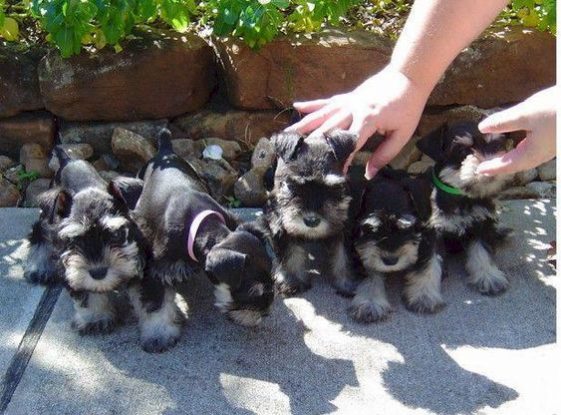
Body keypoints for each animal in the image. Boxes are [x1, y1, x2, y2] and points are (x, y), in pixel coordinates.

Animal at [24, 148, 147, 336]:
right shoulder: (72, 269)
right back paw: (38, 268)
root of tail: (66, 159)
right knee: (39, 235)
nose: (98, 273)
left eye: (115, 234)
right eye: (75, 239)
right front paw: (96, 319)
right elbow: (88, 294)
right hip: (47, 218)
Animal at [129, 128, 274, 352]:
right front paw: (159, 335)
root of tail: (165, 150)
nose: (265, 313)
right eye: (252, 290)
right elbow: (155, 303)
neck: (200, 227)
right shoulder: (156, 269)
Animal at [264, 130, 358, 296]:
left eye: (331, 188)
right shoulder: (278, 225)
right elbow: (289, 253)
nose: (312, 221)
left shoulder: (344, 224)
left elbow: (343, 255)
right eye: (292, 186)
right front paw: (293, 281)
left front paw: (345, 283)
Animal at [350, 167, 442, 324]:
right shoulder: (362, 251)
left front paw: (423, 296)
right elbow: (371, 274)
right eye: (371, 229)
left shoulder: (427, 236)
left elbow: (425, 264)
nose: (390, 261)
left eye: (405, 227)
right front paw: (370, 303)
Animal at [414, 122, 516, 298]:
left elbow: (482, 252)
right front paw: (423, 293)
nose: (491, 170)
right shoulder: (431, 232)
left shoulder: (482, 223)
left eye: (496, 145)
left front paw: (489, 276)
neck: (461, 195)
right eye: (462, 151)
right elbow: (429, 262)